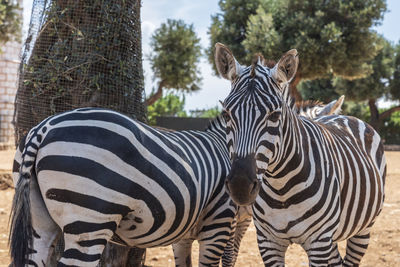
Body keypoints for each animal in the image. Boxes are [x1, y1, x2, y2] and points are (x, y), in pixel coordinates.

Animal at [10, 109, 238, 267]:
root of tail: (43, 128)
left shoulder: (185, 233)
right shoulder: (220, 222)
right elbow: (227, 258)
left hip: (39, 220)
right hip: (90, 220)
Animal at [214, 43, 386, 266]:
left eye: (275, 115)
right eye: (226, 114)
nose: (240, 186)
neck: (280, 189)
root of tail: (347, 117)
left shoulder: (319, 242)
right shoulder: (268, 241)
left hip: (363, 228)